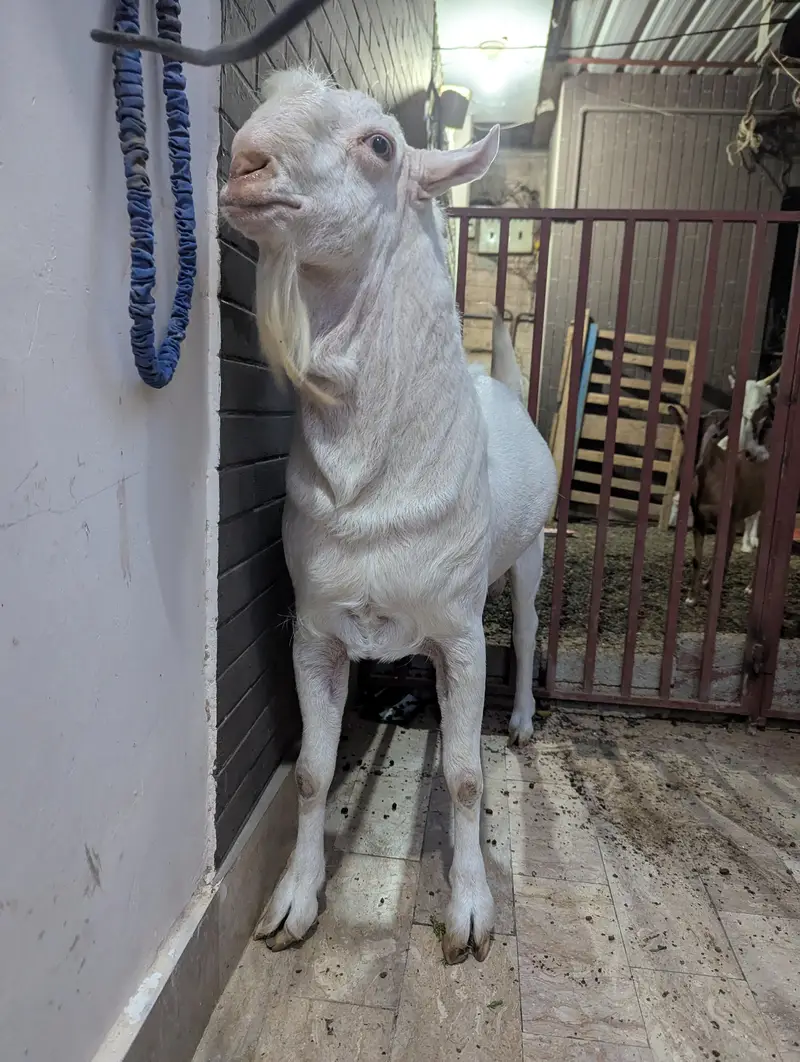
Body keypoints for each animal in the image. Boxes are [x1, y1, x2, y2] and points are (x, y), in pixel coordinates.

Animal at [219, 69, 557, 965]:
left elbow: (467, 777)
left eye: (379, 144)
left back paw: (519, 720)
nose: (244, 164)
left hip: (529, 558)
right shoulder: (314, 629)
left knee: (530, 626)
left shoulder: (462, 633)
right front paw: (293, 902)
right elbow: (310, 770)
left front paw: (469, 913)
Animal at [668, 404, 770, 605]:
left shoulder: (729, 520)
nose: (694, 462)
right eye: (683, 430)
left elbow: (723, 554)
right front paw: (692, 597)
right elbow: (697, 558)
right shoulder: (700, 519)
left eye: (715, 435)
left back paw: (749, 588)